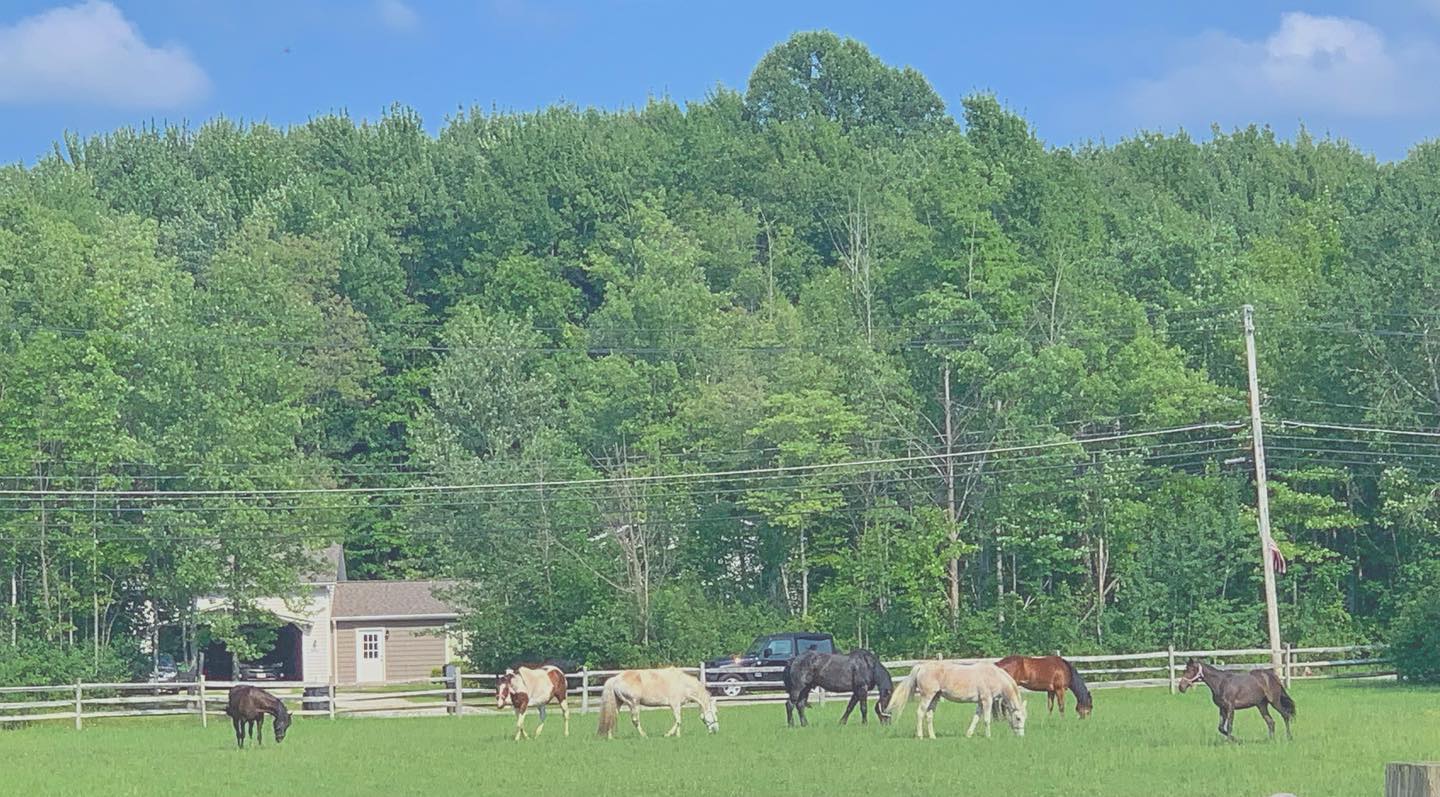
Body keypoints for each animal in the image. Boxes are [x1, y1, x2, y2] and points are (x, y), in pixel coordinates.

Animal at [886, 660, 1026, 739]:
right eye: (1018, 718)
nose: (1021, 736)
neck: (994, 675)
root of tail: (921, 666)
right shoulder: (987, 700)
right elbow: (986, 720)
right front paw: (988, 736)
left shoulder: (980, 702)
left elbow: (976, 718)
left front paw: (968, 734)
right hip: (927, 696)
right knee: (920, 713)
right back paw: (920, 736)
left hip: (935, 697)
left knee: (929, 715)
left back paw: (932, 737)